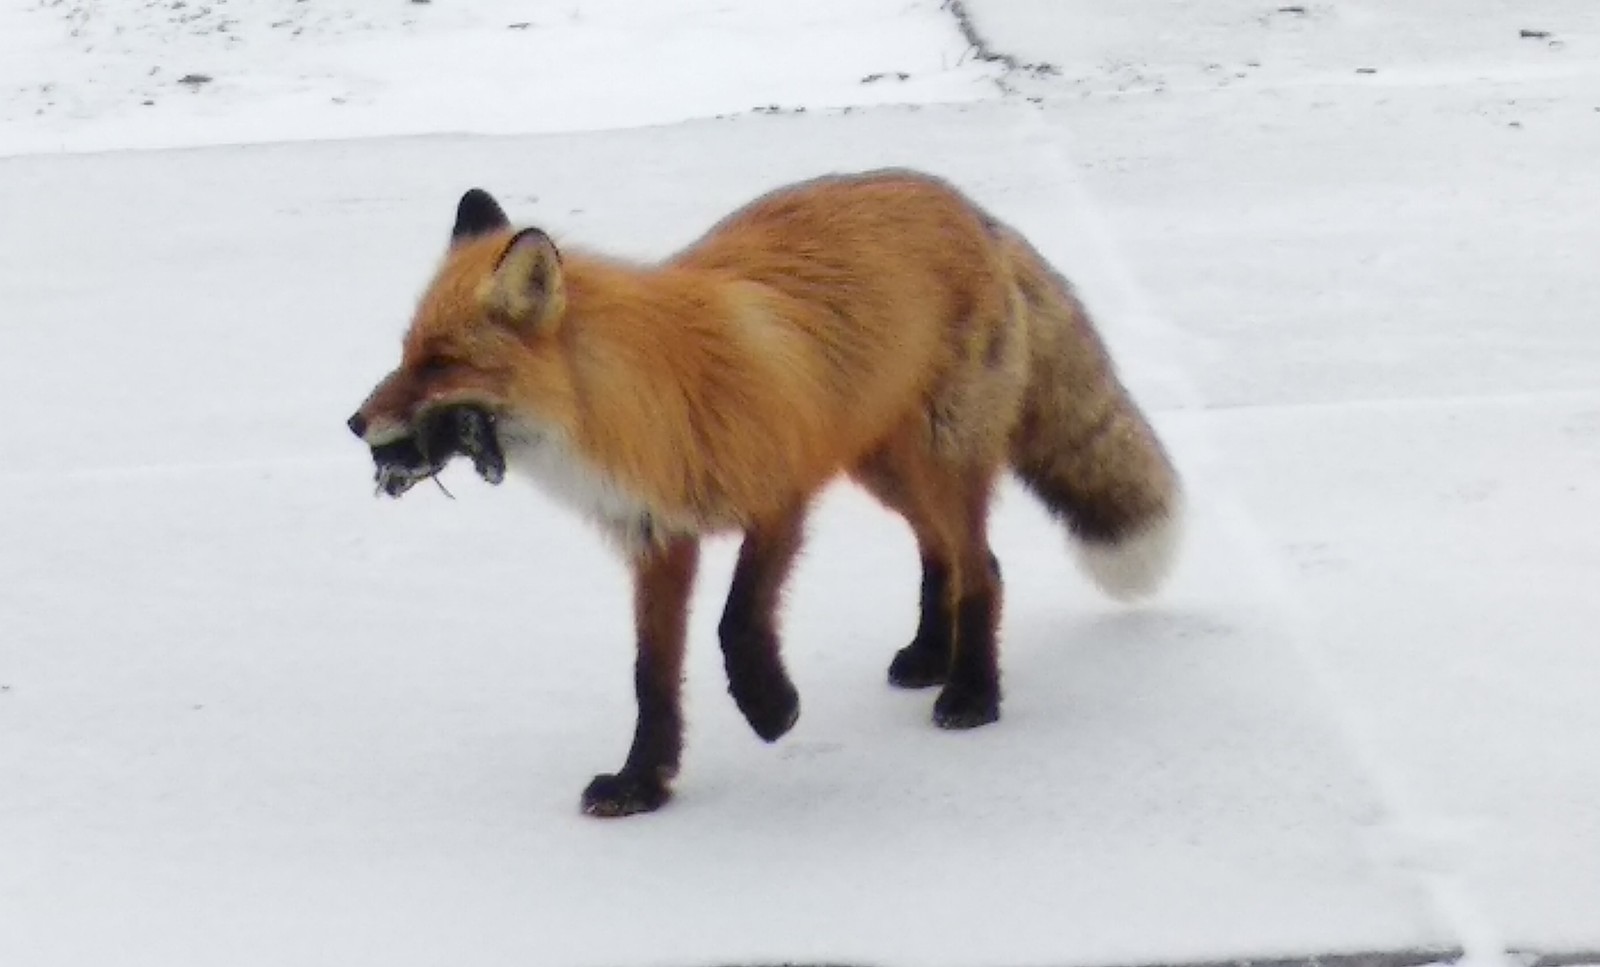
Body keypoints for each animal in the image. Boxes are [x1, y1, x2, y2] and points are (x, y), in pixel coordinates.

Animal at [344, 168, 1184, 816]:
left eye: (440, 363)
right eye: (406, 353)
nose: (354, 423)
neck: (636, 406)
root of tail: (969, 207)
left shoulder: (781, 496)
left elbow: (738, 619)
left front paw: (770, 706)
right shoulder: (658, 539)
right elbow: (652, 676)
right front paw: (644, 782)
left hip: (937, 457)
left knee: (984, 570)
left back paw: (972, 691)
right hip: (885, 466)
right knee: (943, 554)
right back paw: (928, 655)